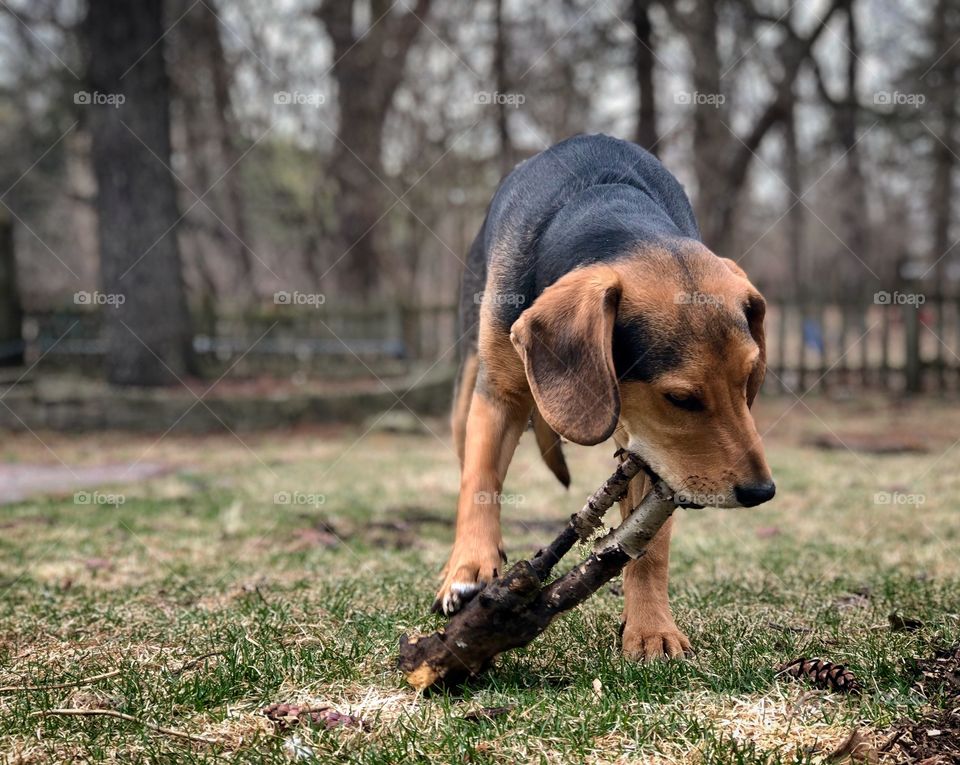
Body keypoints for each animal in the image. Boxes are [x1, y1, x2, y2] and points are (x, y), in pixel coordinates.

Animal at [438, 134, 776, 660]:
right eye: (681, 398)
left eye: (747, 382)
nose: (762, 492)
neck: (608, 211)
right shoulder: (499, 397)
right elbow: (479, 483)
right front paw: (469, 567)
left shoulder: (649, 450)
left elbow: (646, 550)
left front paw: (652, 629)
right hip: (465, 391)